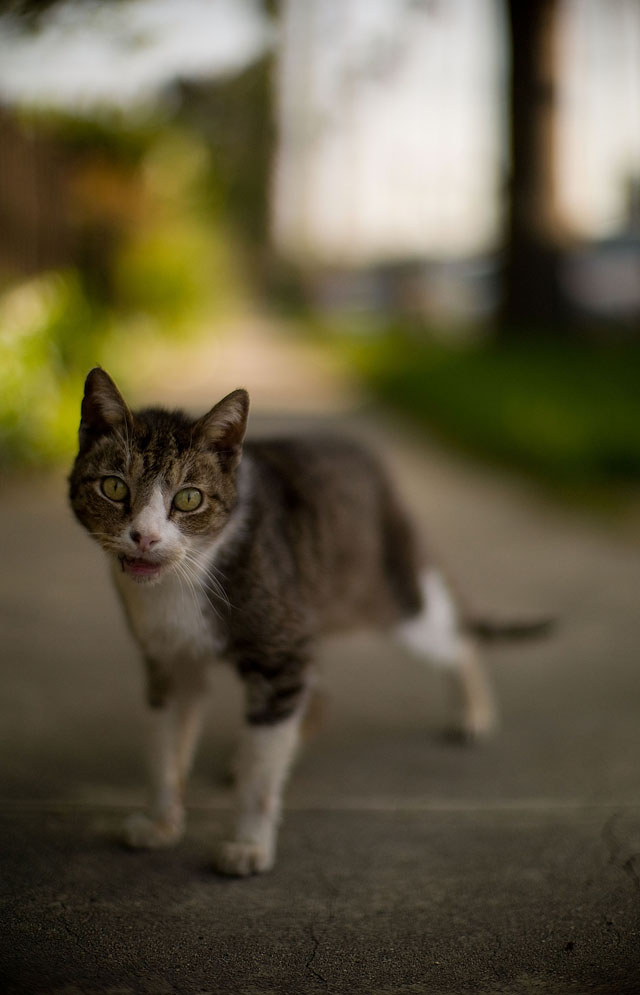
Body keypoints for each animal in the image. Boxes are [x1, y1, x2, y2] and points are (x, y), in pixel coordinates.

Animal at [70, 368, 528, 880]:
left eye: (188, 498)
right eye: (114, 488)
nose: (145, 537)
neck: (177, 584)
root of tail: (371, 461)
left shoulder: (281, 652)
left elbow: (262, 772)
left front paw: (249, 844)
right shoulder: (170, 662)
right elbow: (165, 750)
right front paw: (160, 822)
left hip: (392, 601)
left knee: (455, 637)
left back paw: (474, 714)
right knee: (316, 695)